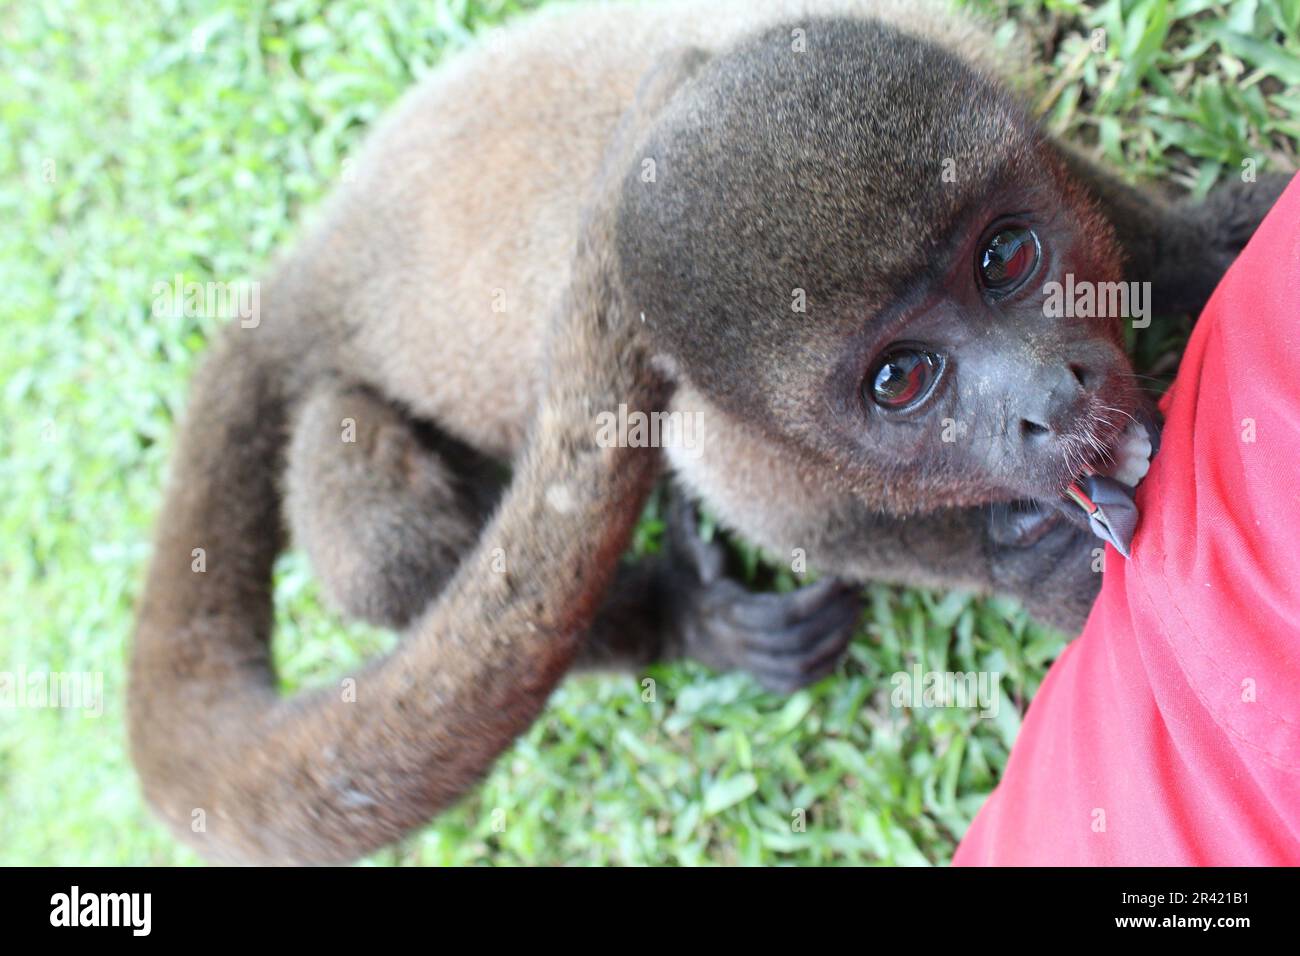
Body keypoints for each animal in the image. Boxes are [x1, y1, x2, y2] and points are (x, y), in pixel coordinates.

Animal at [124, 0, 1289, 868]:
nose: (1048, 393)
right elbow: (822, 525)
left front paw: (1207, 248)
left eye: (1006, 257)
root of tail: (315, 260)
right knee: (378, 552)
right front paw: (1033, 565)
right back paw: (691, 616)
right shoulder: (738, 447)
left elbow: (1097, 199)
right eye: (902, 379)